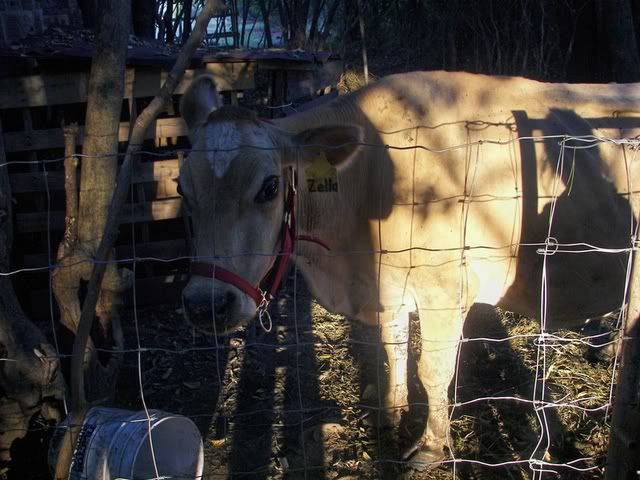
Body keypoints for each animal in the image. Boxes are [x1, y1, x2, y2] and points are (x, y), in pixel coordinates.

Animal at [177, 70, 640, 468]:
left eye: (270, 187)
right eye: (182, 188)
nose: (206, 304)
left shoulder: (444, 289)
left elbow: (432, 371)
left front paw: (431, 446)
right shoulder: (389, 284)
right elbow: (393, 348)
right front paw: (391, 410)